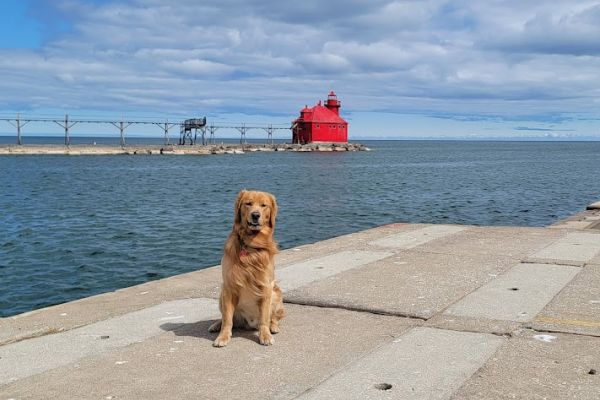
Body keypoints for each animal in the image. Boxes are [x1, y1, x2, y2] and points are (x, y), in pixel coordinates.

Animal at [210, 189, 284, 346]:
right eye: (248, 203)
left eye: (263, 205)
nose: (255, 215)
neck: (250, 245)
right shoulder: (229, 286)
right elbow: (227, 319)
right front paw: (223, 336)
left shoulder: (266, 286)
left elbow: (264, 318)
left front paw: (265, 335)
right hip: (221, 295)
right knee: (226, 317)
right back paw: (216, 325)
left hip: (276, 294)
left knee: (275, 317)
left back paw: (273, 327)